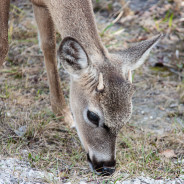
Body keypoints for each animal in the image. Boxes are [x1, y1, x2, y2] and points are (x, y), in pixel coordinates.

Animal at [0, 0, 162, 175]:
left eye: (126, 119)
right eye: (93, 116)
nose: (107, 167)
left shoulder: (43, 5)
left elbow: (49, 45)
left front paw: (63, 115)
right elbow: (4, 45)